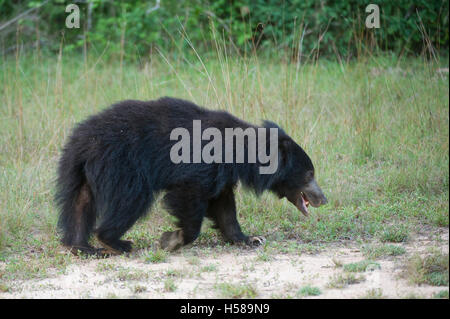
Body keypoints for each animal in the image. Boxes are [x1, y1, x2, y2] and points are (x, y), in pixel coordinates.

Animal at [56, 97, 326, 258]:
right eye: (309, 174)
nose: (323, 198)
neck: (239, 151)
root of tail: (84, 141)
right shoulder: (202, 165)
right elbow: (188, 196)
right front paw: (172, 240)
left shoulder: (222, 174)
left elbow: (225, 207)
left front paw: (250, 239)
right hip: (124, 166)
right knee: (130, 201)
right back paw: (115, 242)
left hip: (77, 170)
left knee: (79, 203)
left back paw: (81, 246)